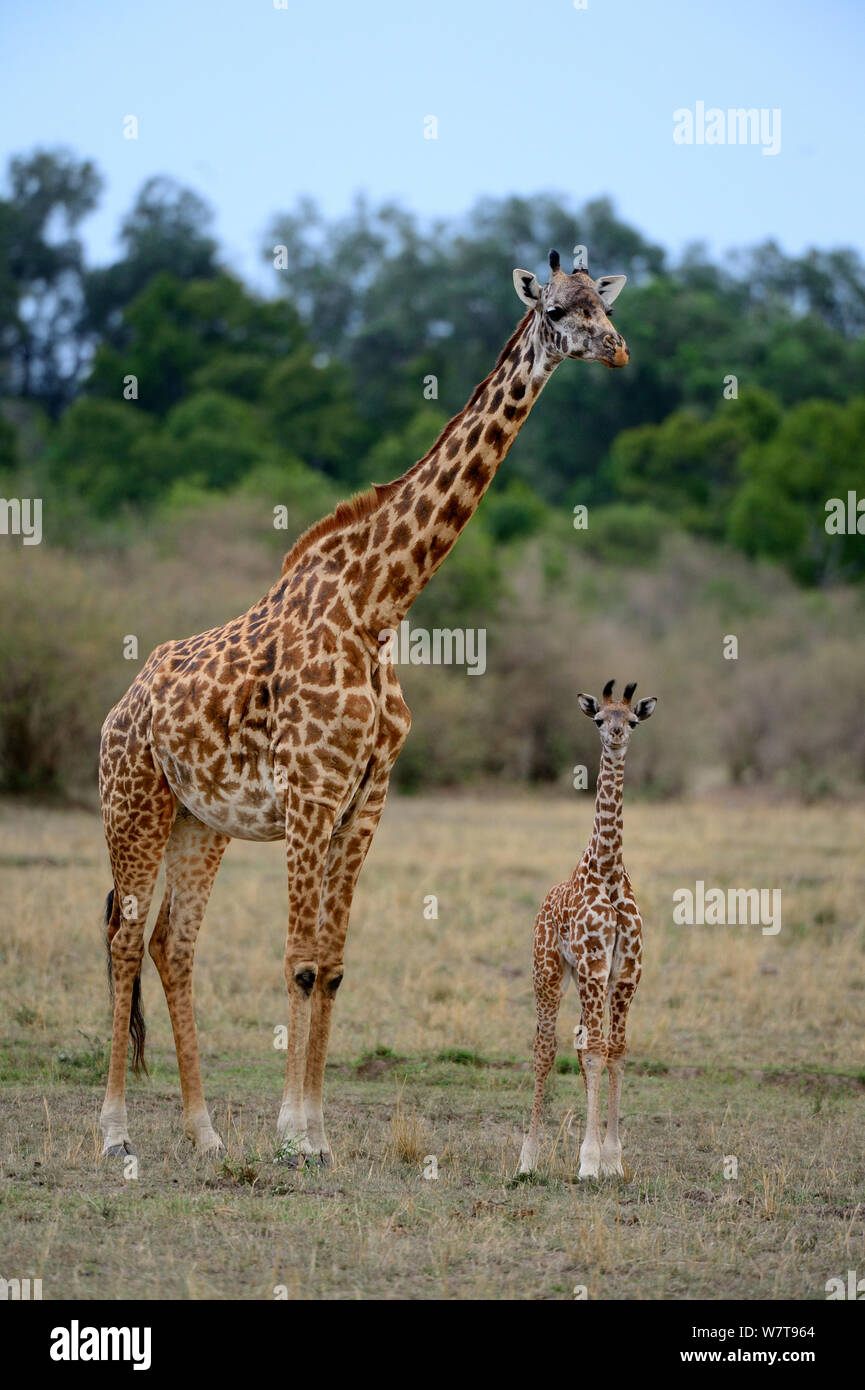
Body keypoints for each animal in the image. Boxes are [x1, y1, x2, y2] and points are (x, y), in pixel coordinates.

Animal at [100, 247, 631, 1162]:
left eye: (603, 304)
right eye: (558, 310)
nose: (619, 351)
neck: (377, 603)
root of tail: (116, 710)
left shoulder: (366, 798)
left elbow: (336, 964)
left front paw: (315, 1133)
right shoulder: (311, 796)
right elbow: (300, 960)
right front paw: (293, 1135)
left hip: (197, 824)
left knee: (174, 944)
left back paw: (205, 1135)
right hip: (130, 804)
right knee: (126, 939)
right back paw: (114, 1135)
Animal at [522, 678, 656, 1178]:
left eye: (632, 720)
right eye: (600, 718)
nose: (615, 736)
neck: (609, 871)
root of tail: (543, 904)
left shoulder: (625, 972)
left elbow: (615, 1051)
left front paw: (612, 1160)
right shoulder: (595, 966)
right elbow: (598, 1050)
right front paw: (588, 1162)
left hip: (581, 979)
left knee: (581, 1043)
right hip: (548, 970)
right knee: (545, 1049)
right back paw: (527, 1159)